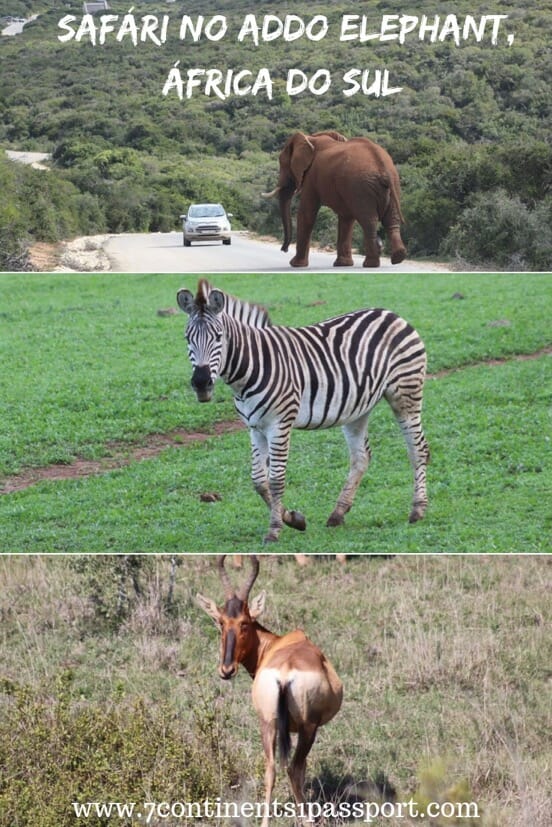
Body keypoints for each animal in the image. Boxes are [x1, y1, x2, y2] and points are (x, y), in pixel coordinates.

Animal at [179, 280, 430, 544]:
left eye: (219, 337)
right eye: (187, 338)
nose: (201, 383)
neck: (251, 368)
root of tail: (391, 314)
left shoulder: (279, 424)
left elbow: (275, 479)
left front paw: (275, 530)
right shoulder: (255, 427)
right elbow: (258, 481)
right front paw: (294, 519)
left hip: (405, 395)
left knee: (418, 450)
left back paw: (418, 509)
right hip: (357, 408)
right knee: (361, 457)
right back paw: (338, 514)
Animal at [264, 130, 406, 268]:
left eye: (283, 164)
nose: (284, 249)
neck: (310, 138)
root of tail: (382, 165)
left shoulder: (311, 176)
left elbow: (306, 213)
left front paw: (295, 265)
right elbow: (346, 218)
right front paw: (343, 264)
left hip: (361, 186)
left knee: (369, 221)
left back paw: (371, 264)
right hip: (390, 184)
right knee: (391, 220)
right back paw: (397, 257)